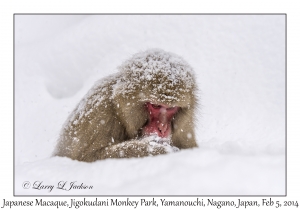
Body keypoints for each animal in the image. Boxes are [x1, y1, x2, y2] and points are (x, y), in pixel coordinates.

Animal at [53, 48, 199, 162]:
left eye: (171, 108)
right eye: (156, 106)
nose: (162, 128)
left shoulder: (185, 129)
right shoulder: (99, 114)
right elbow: (89, 157)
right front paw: (157, 150)